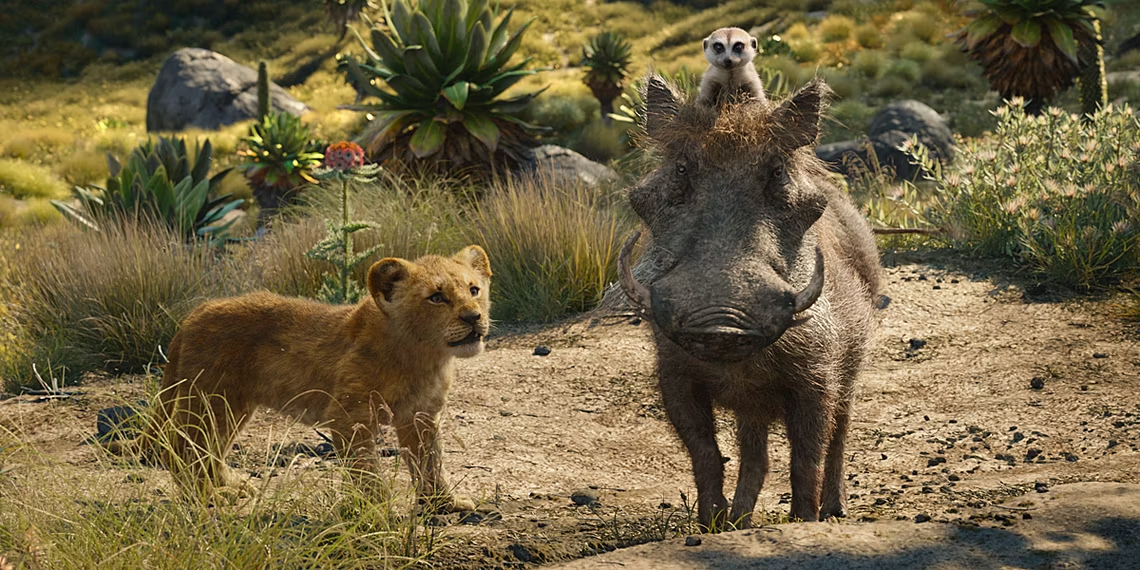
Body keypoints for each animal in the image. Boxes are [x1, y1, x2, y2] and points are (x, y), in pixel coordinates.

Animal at [115, 245, 491, 512]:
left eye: (474, 290)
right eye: (437, 297)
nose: (474, 317)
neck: (423, 356)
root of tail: (193, 315)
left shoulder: (421, 416)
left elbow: (431, 463)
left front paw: (443, 504)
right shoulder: (350, 416)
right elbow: (367, 470)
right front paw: (377, 512)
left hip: (231, 405)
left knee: (210, 449)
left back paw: (230, 485)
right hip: (210, 399)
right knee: (181, 447)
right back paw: (211, 497)